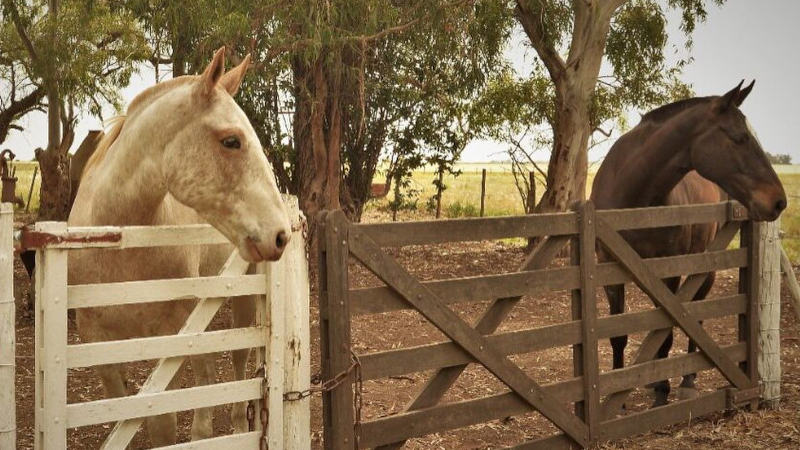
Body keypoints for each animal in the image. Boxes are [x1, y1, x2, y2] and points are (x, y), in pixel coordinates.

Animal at [67, 47, 290, 444]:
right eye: (231, 140)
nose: (281, 234)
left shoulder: (169, 339)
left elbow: (163, 426)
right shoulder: (99, 345)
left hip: (243, 299)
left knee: (238, 362)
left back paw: (236, 426)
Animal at [592, 81, 784, 408]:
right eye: (740, 138)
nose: (778, 201)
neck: (634, 195)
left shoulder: (669, 271)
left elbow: (667, 333)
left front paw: (662, 392)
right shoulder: (611, 269)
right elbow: (619, 335)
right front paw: (617, 395)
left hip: (702, 270)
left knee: (696, 317)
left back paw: (687, 381)